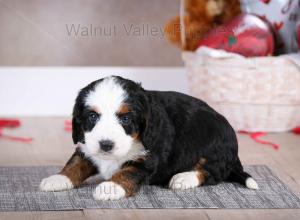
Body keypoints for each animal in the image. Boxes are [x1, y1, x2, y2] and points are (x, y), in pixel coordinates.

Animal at [39, 76, 258, 201]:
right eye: (92, 116)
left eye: (126, 119)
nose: (106, 145)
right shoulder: (87, 146)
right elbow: (76, 163)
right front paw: (59, 178)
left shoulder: (148, 158)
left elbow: (128, 172)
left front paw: (111, 187)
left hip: (215, 145)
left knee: (211, 173)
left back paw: (183, 178)